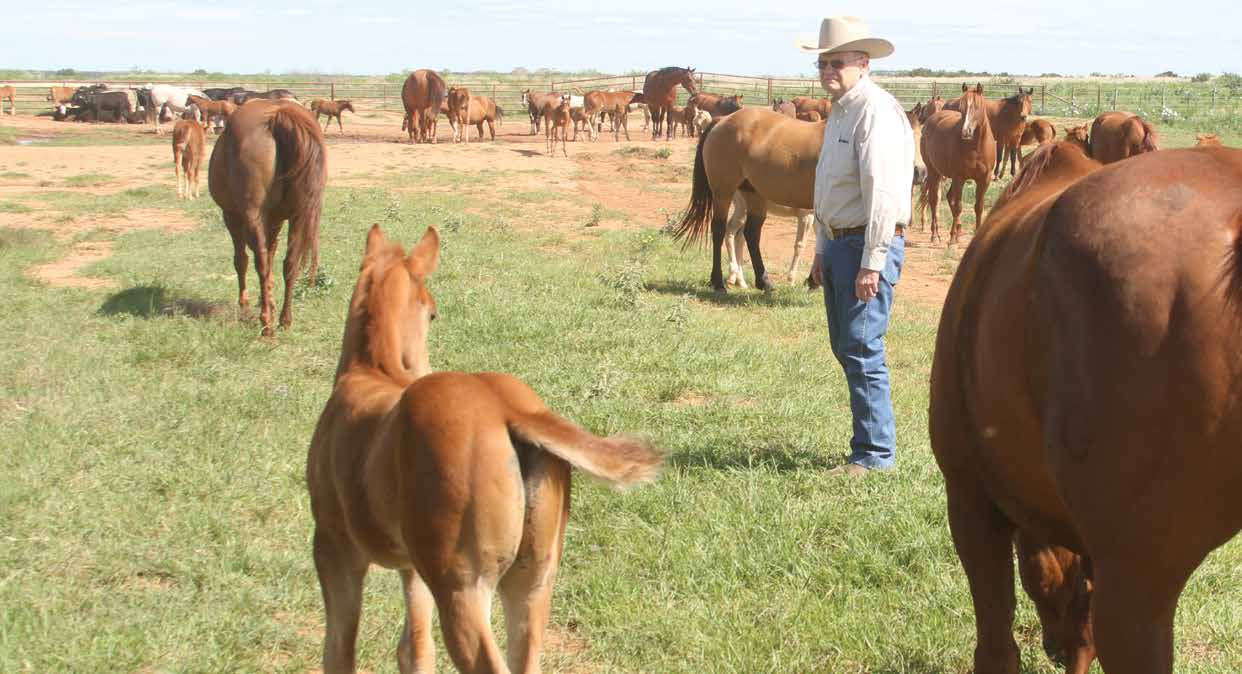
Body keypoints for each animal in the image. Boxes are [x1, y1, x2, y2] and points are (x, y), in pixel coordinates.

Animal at [207, 99, 325, 337]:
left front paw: (246, 302)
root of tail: (277, 115)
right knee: (290, 263)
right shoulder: (275, 221)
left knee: (259, 261)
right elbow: (272, 258)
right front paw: (268, 299)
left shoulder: (232, 216)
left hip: (250, 215)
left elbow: (242, 260)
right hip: (298, 216)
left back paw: (267, 323)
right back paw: (285, 320)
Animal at [306, 224, 665, 674]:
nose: (419, 369)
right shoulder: (412, 568)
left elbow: (339, 651)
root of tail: (508, 407)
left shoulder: (334, 551)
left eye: (433, 312)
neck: (370, 372)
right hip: (532, 582)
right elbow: (415, 650)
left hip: (462, 588)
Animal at [670, 107, 824, 290]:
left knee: (750, 234)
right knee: (720, 230)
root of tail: (723, 120)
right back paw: (719, 281)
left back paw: (762, 281)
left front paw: (812, 281)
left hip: (753, 196)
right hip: (723, 192)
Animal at [924, 83, 998, 243]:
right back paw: (936, 235)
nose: (966, 131)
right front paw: (951, 241)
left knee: (948, 198)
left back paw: (958, 233)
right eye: (961, 107)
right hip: (934, 172)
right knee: (934, 200)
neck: (976, 147)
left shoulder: (984, 180)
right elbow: (958, 206)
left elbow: (979, 206)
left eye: (977, 107)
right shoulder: (959, 178)